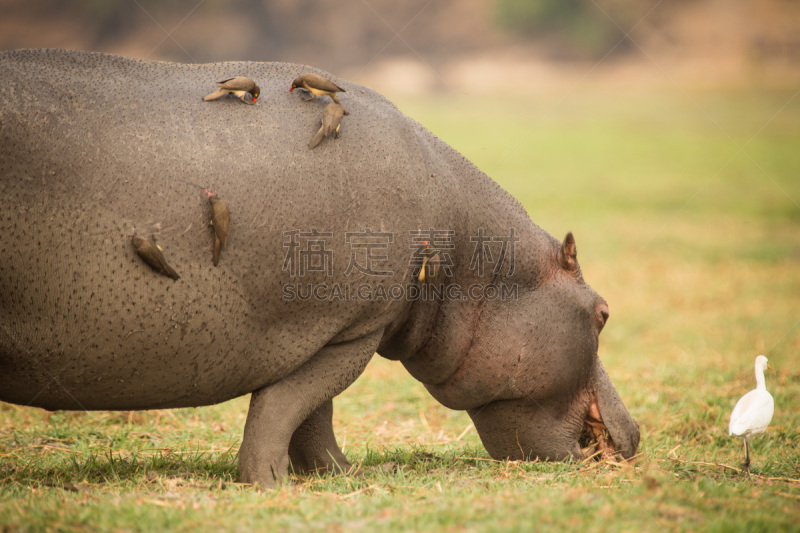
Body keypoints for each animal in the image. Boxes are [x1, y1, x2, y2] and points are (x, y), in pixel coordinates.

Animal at [0, 50, 636, 486]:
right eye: (603, 313)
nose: (635, 435)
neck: (471, 261)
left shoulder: (323, 332)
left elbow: (307, 413)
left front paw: (338, 475)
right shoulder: (354, 329)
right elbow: (288, 406)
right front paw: (271, 483)